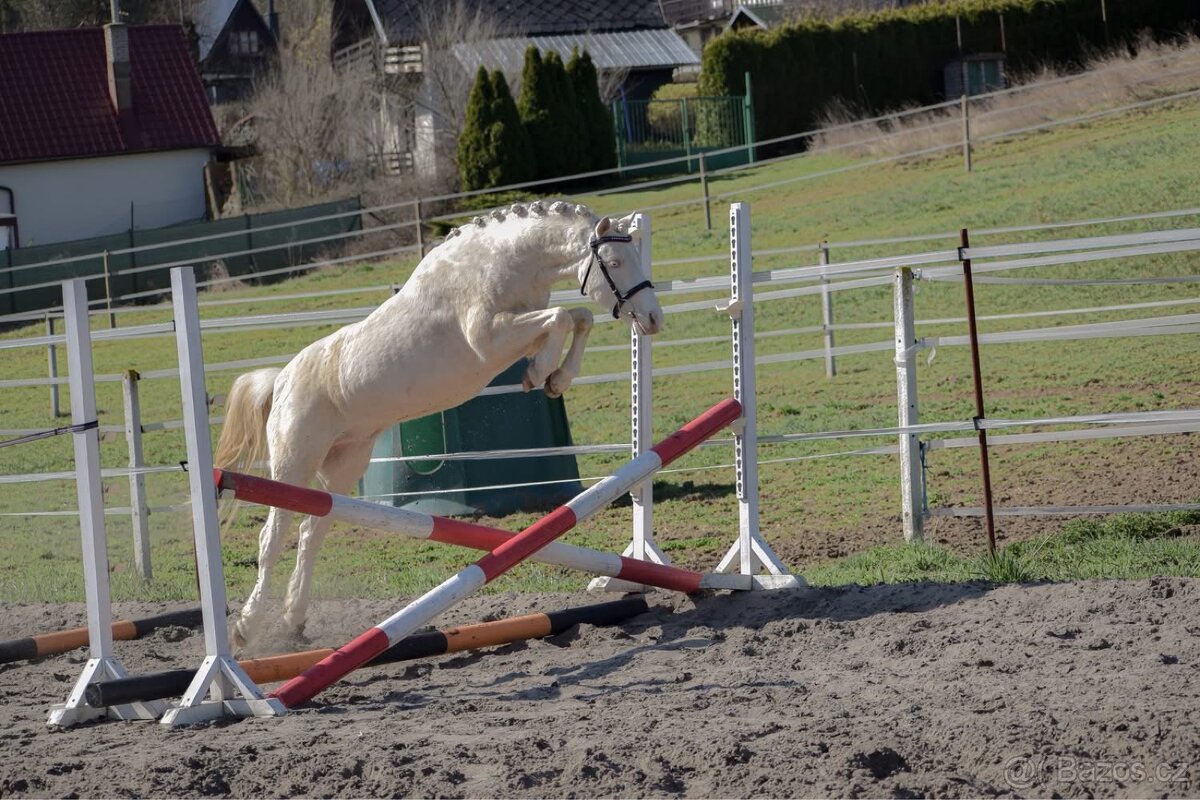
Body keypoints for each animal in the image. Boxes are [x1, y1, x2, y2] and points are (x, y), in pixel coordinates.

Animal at [214, 200, 664, 647]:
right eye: (616, 262)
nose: (653, 319)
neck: (504, 260)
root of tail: (281, 380)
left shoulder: (520, 330)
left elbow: (578, 316)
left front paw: (555, 379)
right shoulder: (492, 338)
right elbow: (560, 318)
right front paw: (540, 372)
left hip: (345, 463)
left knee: (311, 533)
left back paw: (294, 621)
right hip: (295, 462)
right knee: (272, 538)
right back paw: (245, 628)